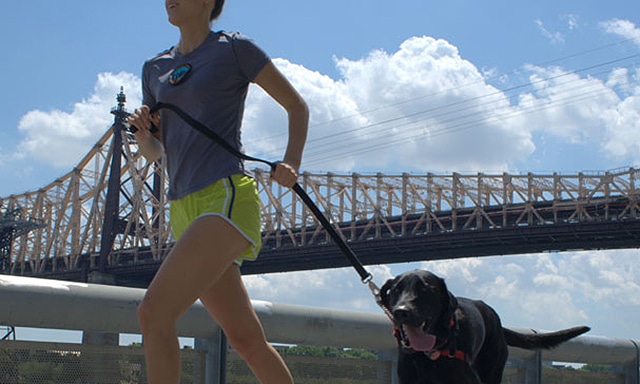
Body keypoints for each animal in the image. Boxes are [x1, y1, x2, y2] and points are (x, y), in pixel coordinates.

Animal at [380, 270, 592, 384]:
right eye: (396, 289)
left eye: (426, 289)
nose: (401, 312)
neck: (430, 354)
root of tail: (496, 320)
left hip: (492, 371)